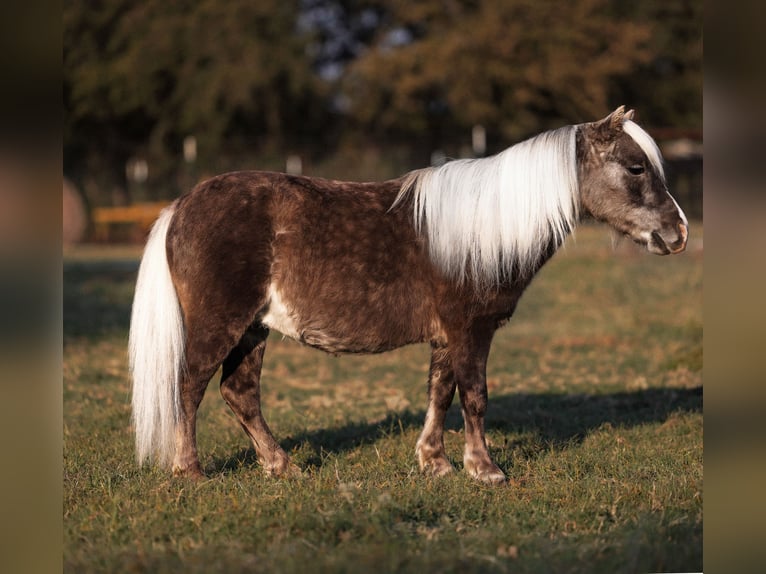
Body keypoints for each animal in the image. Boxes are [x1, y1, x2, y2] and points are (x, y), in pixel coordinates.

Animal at [129, 106, 688, 484]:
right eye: (635, 168)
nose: (678, 233)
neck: (482, 227)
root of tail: (180, 205)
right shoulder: (470, 330)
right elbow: (475, 395)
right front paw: (485, 469)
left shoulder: (447, 335)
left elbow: (440, 393)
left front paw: (435, 462)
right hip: (221, 323)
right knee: (189, 385)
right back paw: (190, 470)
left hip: (253, 329)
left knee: (239, 393)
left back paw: (281, 465)